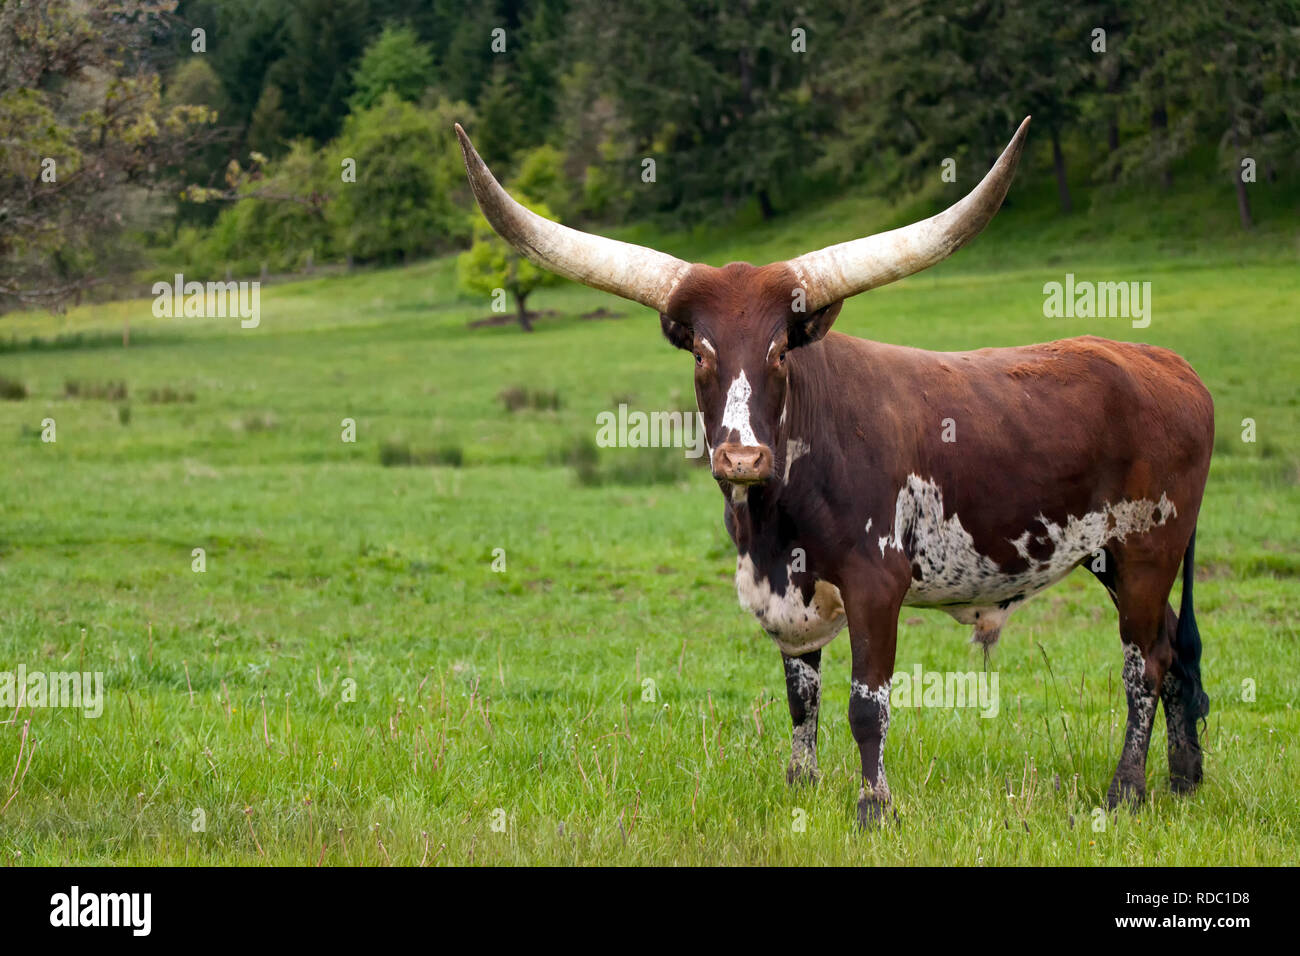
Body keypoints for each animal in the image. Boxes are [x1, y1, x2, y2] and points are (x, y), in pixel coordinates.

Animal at [454, 117, 1214, 827]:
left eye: (778, 353)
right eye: (701, 351)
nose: (741, 458)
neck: (773, 518)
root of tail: (1173, 365)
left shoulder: (876, 582)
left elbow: (865, 705)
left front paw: (874, 806)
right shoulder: (786, 595)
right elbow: (801, 699)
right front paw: (801, 788)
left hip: (1148, 550)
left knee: (1143, 665)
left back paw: (1126, 791)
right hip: (1113, 558)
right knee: (1173, 650)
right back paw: (1183, 779)